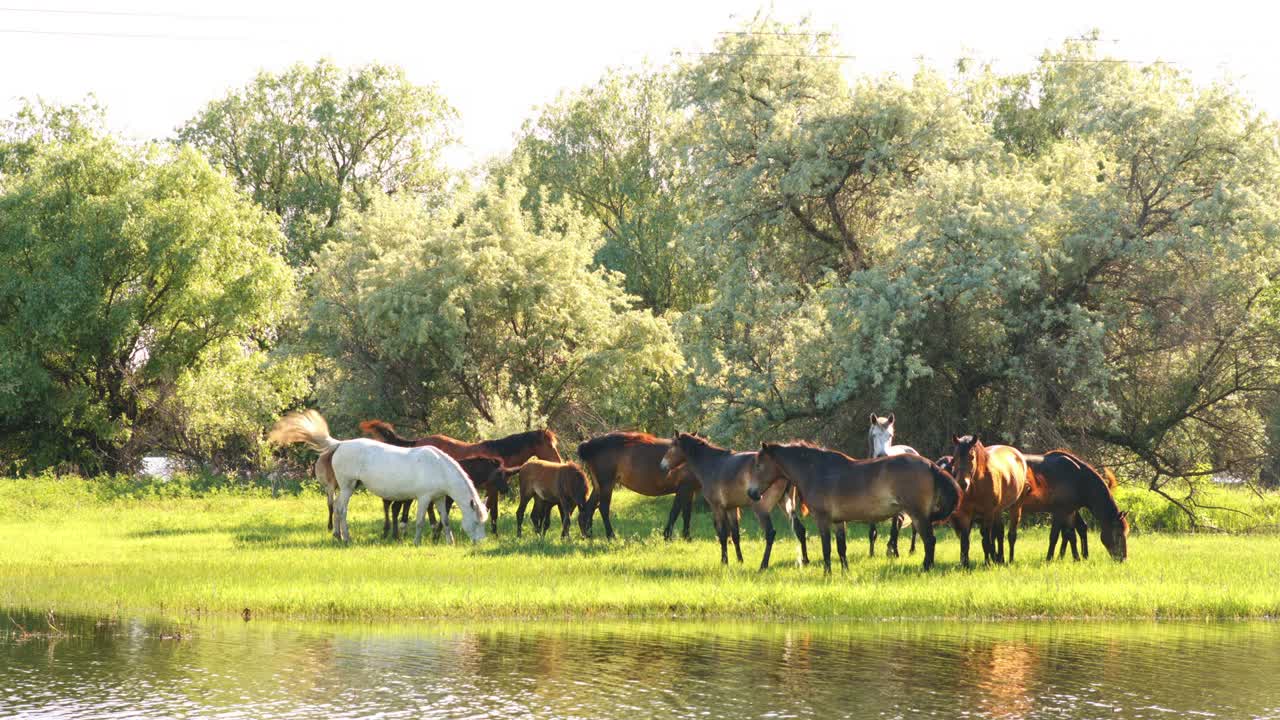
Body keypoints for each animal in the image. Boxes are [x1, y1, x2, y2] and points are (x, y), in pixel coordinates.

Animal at [270, 410, 488, 544]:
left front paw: (450, 542)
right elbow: (419, 521)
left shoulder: (440, 498)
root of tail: (340, 444)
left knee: (337, 508)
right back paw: (346, 538)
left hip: (349, 486)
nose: (480, 543)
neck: (438, 466)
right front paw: (417, 542)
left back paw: (338, 535)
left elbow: (445, 520)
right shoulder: (424, 498)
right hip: (347, 487)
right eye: (477, 522)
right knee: (341, 509)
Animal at [660, 433, 806, 569]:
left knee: (770, 533)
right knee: (800, 529)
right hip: (786, 505)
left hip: (761, 510)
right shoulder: (731, 508)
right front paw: (740, 560)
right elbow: (735, 535)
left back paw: (763, 565)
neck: (712, 463)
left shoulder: (717, 507)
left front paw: (724, 562)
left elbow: (723, 535)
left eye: (672, 446)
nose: (662, 466)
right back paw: (805, 560)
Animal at [747, 442, 960, 572]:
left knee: (930, 541)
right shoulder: (838, 521)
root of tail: (931, 465)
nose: (752, 493)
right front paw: (844, 572)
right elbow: (841, 548)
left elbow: (826, 549)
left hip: (918, 515)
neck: (816, 471)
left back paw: (926, 567)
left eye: (758, 465)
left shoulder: (822, 519)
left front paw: (827, 574)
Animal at [868, 413, 920, 558]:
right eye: (874, 435)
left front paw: (895, 553)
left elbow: (893, 529)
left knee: (911, 526)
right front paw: (871, 554)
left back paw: (910, 549)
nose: (882, 455)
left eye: (890, 435)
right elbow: (872, 532)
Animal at [948, 434, 1030, 567]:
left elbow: (986, 540)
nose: (962, 484)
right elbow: (965, 542)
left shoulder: (988, 514)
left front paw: (988, 563)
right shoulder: (965, 515)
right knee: (999, 532)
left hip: (1015, 507)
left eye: (972, 457)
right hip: (998, 511)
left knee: (1011, 535)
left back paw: (1009, 560)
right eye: (954, 458)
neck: (976, 487)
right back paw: (1000, 558)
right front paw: (965, 565)